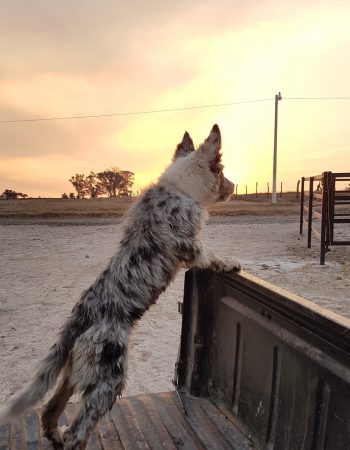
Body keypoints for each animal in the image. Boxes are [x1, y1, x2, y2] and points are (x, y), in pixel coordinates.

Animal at [0, 124, 241, 450]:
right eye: (222, 170)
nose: (235, 185)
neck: (180, 188)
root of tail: (79, 320)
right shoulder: (190, 245)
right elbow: (212, 256)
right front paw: (231, 263)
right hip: (108, 381)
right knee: (78, 432)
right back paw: (70, 437)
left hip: (75, 373)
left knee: (50, 410)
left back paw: (56, 435)